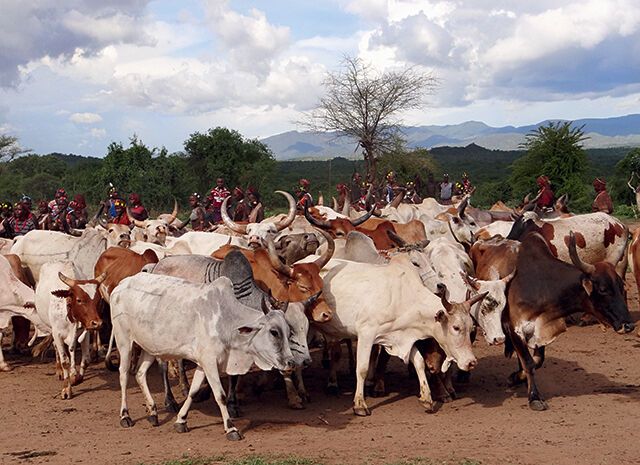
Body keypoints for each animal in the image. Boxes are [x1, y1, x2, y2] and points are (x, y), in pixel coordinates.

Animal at [109, 272, 298, 438]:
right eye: (274, 332)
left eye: (289, 332)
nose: (291, 363)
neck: (226, 321)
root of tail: (121, 284)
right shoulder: (209, 362)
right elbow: (220, 395)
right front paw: (231, 429)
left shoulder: (202, 364)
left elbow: (193, 392)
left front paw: (181, 421)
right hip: (124, 341)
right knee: (124, 375)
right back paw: (125, 416)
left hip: (150, 348)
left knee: (140, 374)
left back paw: (153, 412)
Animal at [504, 229, 636, 410]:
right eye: (603, 289)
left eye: (621, 286)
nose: (628, 325)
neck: (543, 285)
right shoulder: (515, 328)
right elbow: (529, 362)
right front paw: (534, 397)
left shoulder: (541, 331)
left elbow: (537, 361)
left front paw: (517, 377)